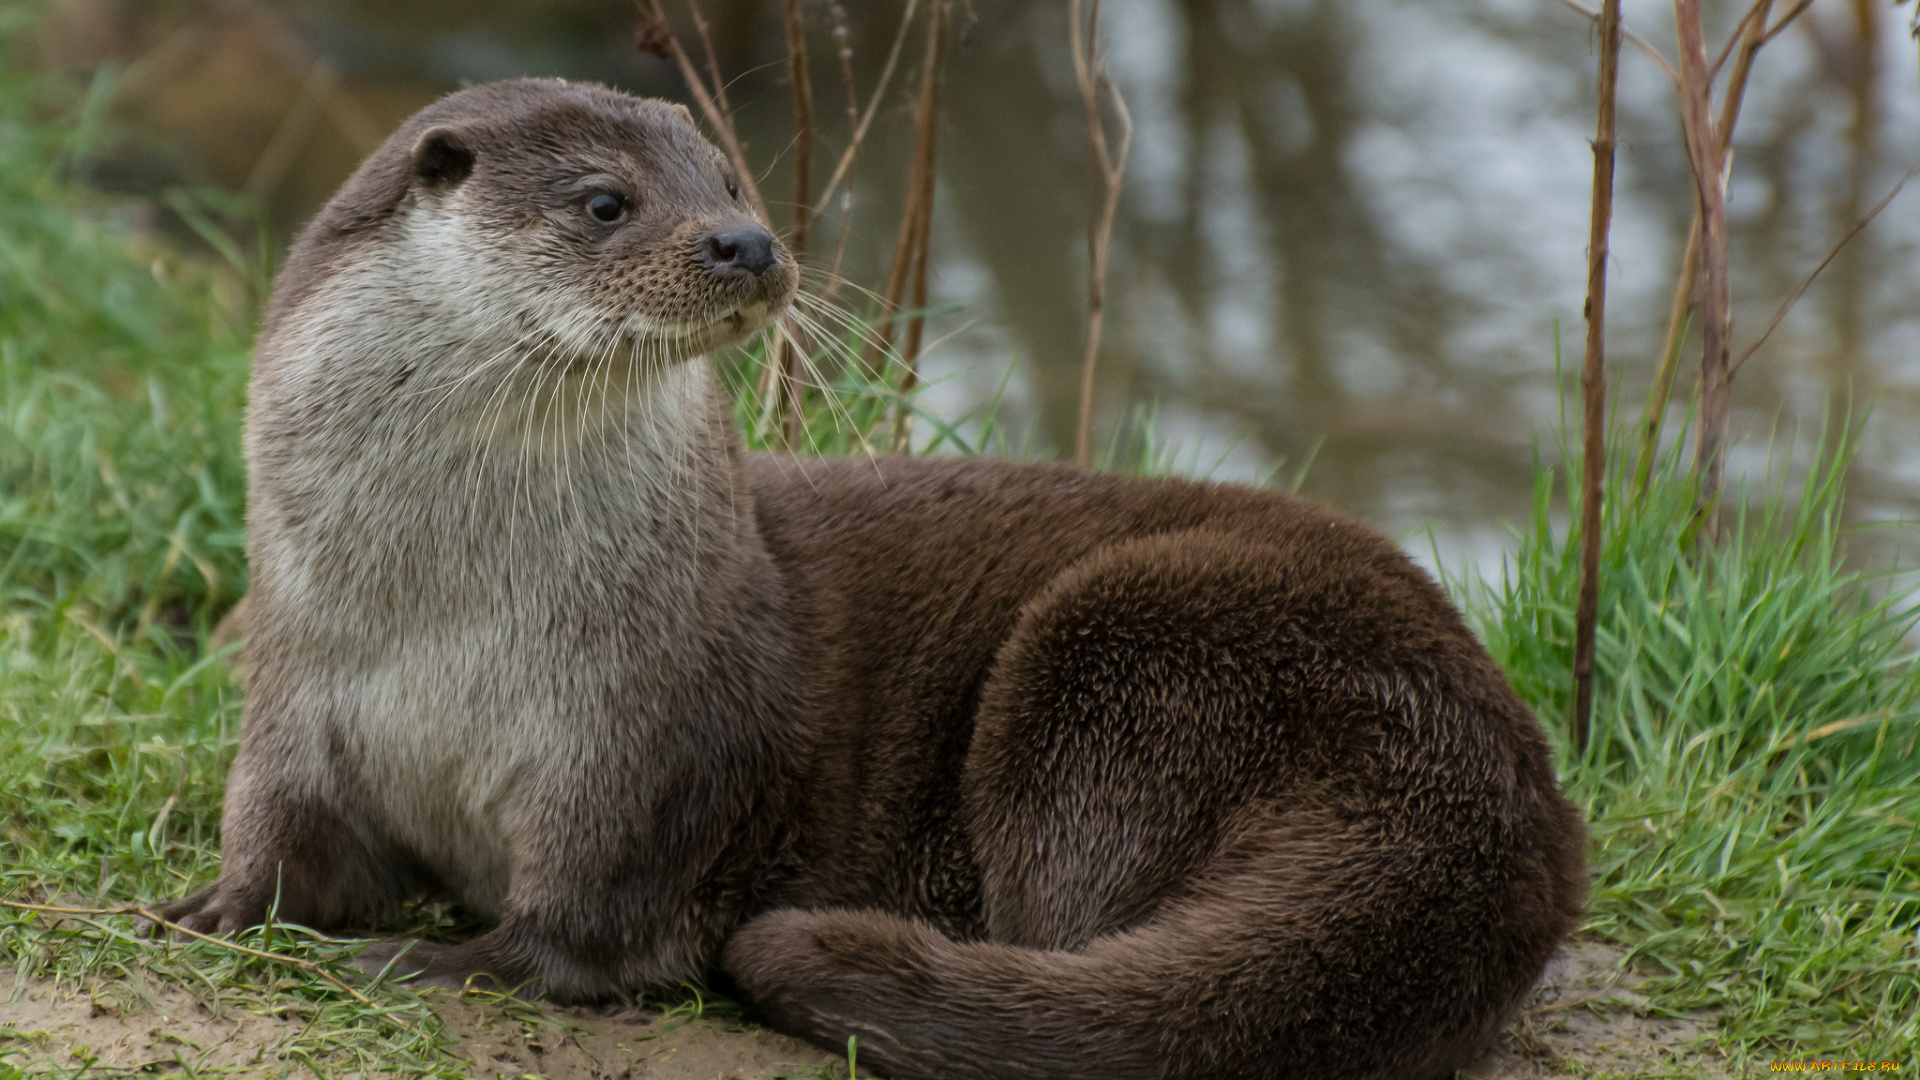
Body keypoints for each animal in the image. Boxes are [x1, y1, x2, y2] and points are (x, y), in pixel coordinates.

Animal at [153, 77, 1589, 1076]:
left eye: (731, 179)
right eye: (607, 201)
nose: (745, 243)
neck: (454, 618)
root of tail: (1496, 796)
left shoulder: (641, 738)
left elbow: (577, 927)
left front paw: (434, 959)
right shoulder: (299, 684)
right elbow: (279, 836)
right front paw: (205, 908)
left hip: (1132, 656)